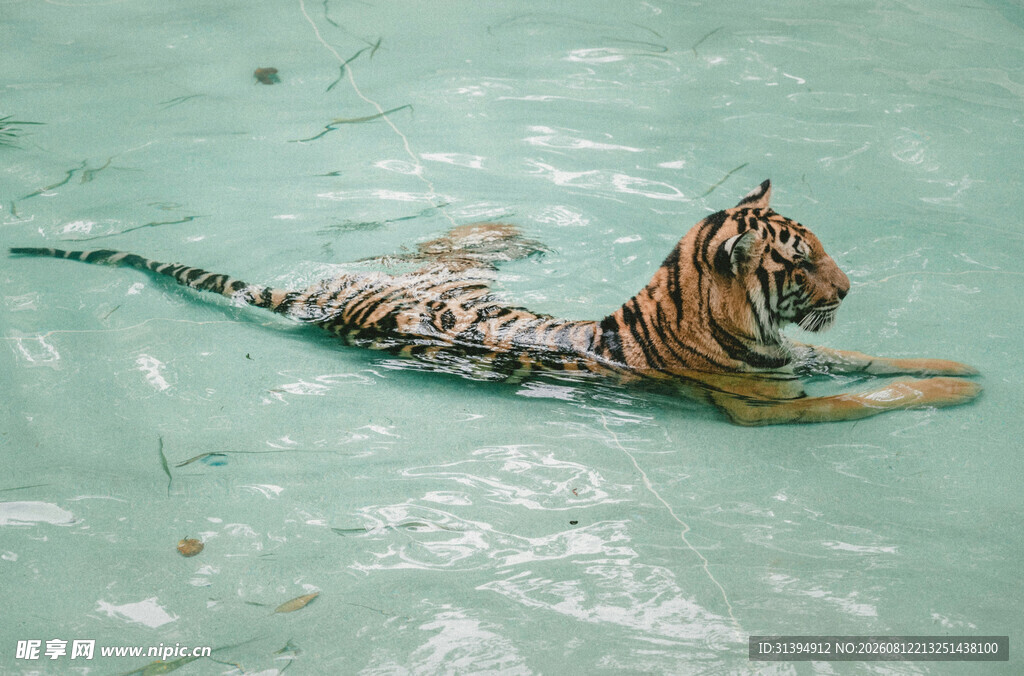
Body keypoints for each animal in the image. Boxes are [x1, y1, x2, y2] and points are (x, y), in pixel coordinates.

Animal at [10, 180, 980, 425]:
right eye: (802, 260)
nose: (849, 288)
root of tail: (310, 300)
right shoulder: (771, 404)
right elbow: (875, 393)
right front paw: (956, 389)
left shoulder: (800, 358)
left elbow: (876, 360)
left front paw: (959, 362)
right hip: (418, 275)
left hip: (429, 271)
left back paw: (508, 228)